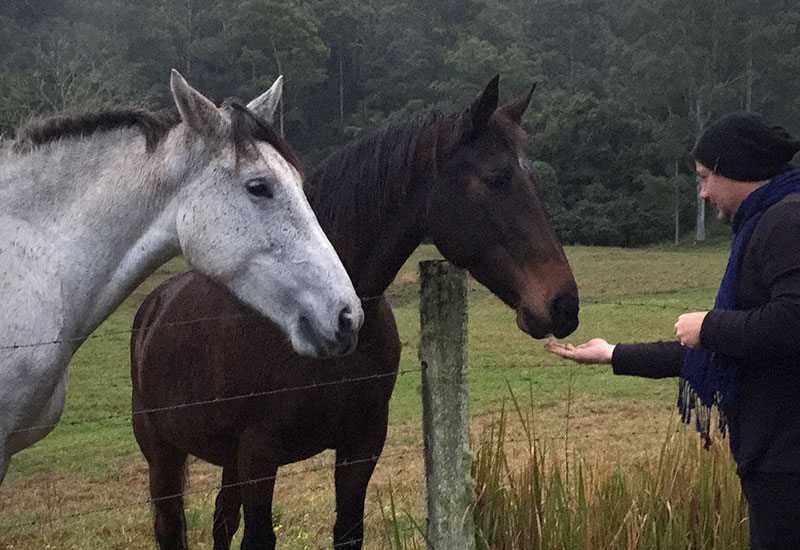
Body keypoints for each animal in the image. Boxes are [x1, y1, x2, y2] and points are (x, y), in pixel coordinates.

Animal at [131, 76, 580, 550]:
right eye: (496, 179)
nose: (563, 305)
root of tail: (154, 304)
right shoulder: (258, 455)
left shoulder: (360, 446)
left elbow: (347, 532)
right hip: (165, 456)